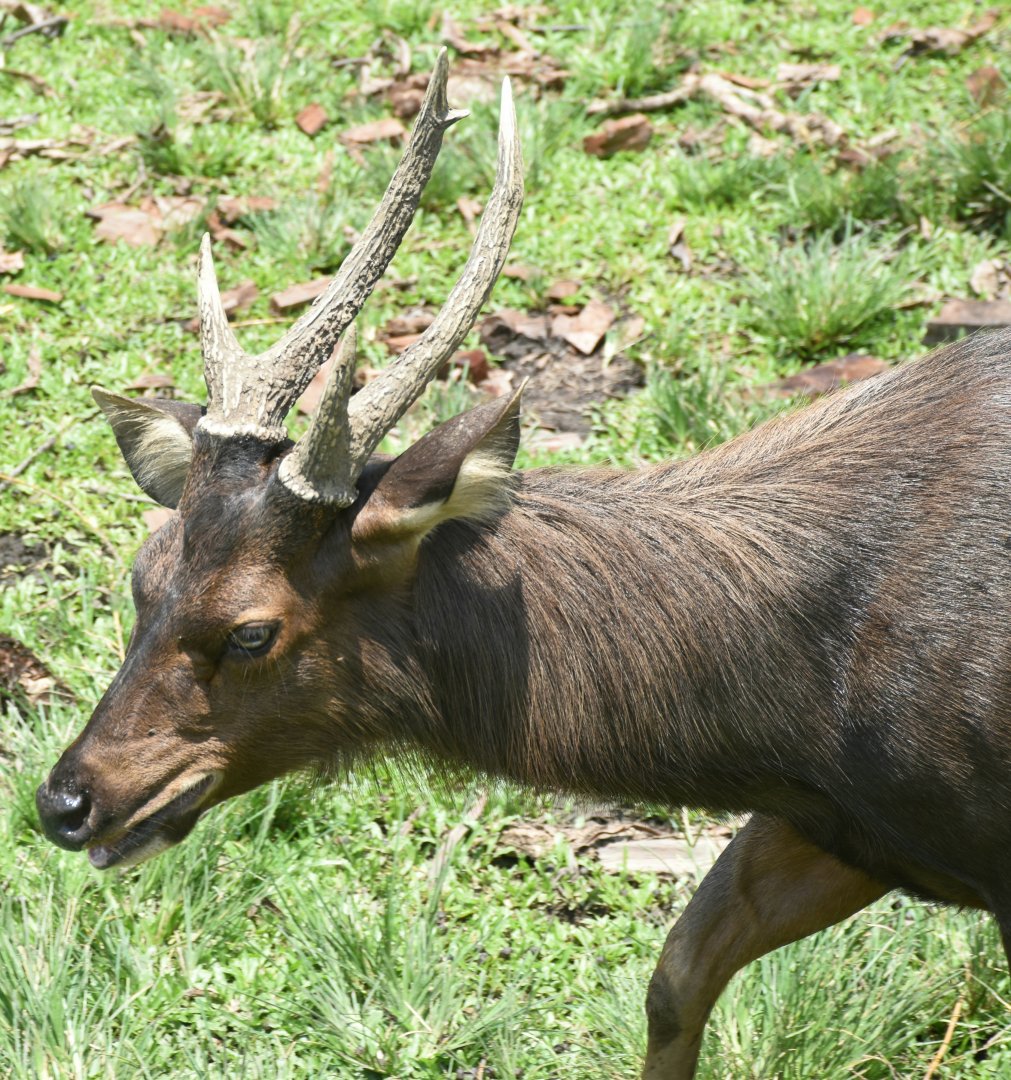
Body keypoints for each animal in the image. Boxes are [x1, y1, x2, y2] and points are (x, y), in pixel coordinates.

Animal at [35, 50, 1011, 1078]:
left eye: (252, 629)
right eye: (144, 574)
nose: (65, 801)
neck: (806, 718)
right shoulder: (846, 825)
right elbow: (676, 976)